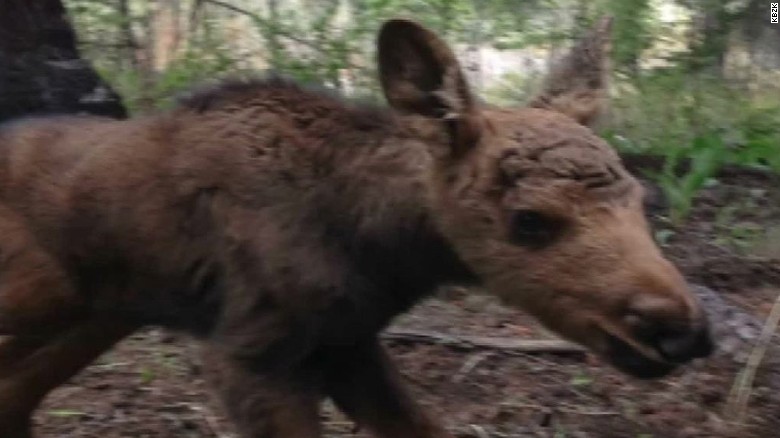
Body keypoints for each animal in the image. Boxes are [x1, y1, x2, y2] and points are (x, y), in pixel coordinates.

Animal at [0, 17, 708, 438]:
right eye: (529, 220)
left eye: (642, 200)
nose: (682, 333)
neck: (382, 252)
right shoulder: (247, 351)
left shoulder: (348, 344)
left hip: (99, 314)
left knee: (15, 394)